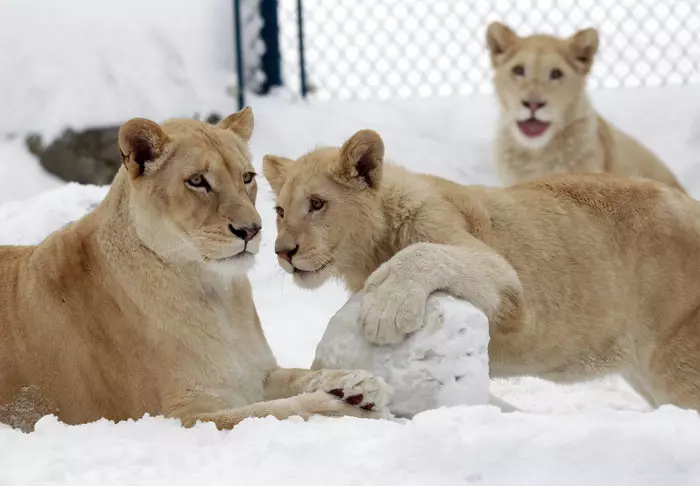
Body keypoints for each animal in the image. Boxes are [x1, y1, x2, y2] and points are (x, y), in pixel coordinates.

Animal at [0, 108, 388, 430]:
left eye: (247, 177)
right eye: (198, 181)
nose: (252, 230)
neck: (216, 294)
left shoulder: (255, 373)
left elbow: (297, 375)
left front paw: (357, 383)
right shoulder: (186, 413)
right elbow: (278, 410)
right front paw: (345, 407)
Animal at [264, 129, 700, 410]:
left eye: (317, 204)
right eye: (280, 211)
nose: (282, 252)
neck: (371, 250)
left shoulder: (507, 281)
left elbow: (425, 252)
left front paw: (385, 308)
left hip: (679, 365)